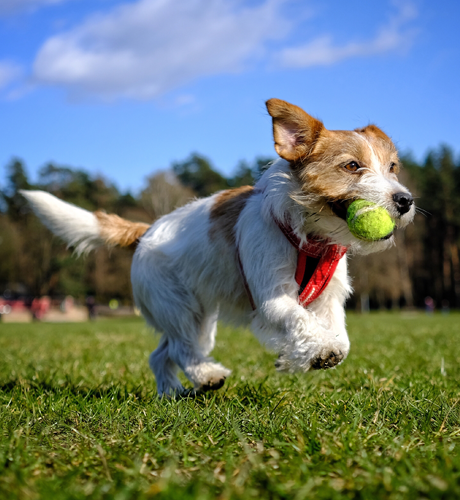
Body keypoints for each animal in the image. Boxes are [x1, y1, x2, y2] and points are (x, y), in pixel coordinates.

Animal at [21, 98, 416, 394]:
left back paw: (171, 392)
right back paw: (206, 376)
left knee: (161, 353)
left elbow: (340, 335)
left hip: (197, 320)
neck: (310, 233)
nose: (405, 200)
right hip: (179, 308)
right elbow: (300, 319)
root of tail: (147, 231)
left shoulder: (329, 295)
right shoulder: (273, 296)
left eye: (392, 167)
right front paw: (319, 349)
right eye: (352, 166)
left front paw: (304, 355)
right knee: (182, 350)